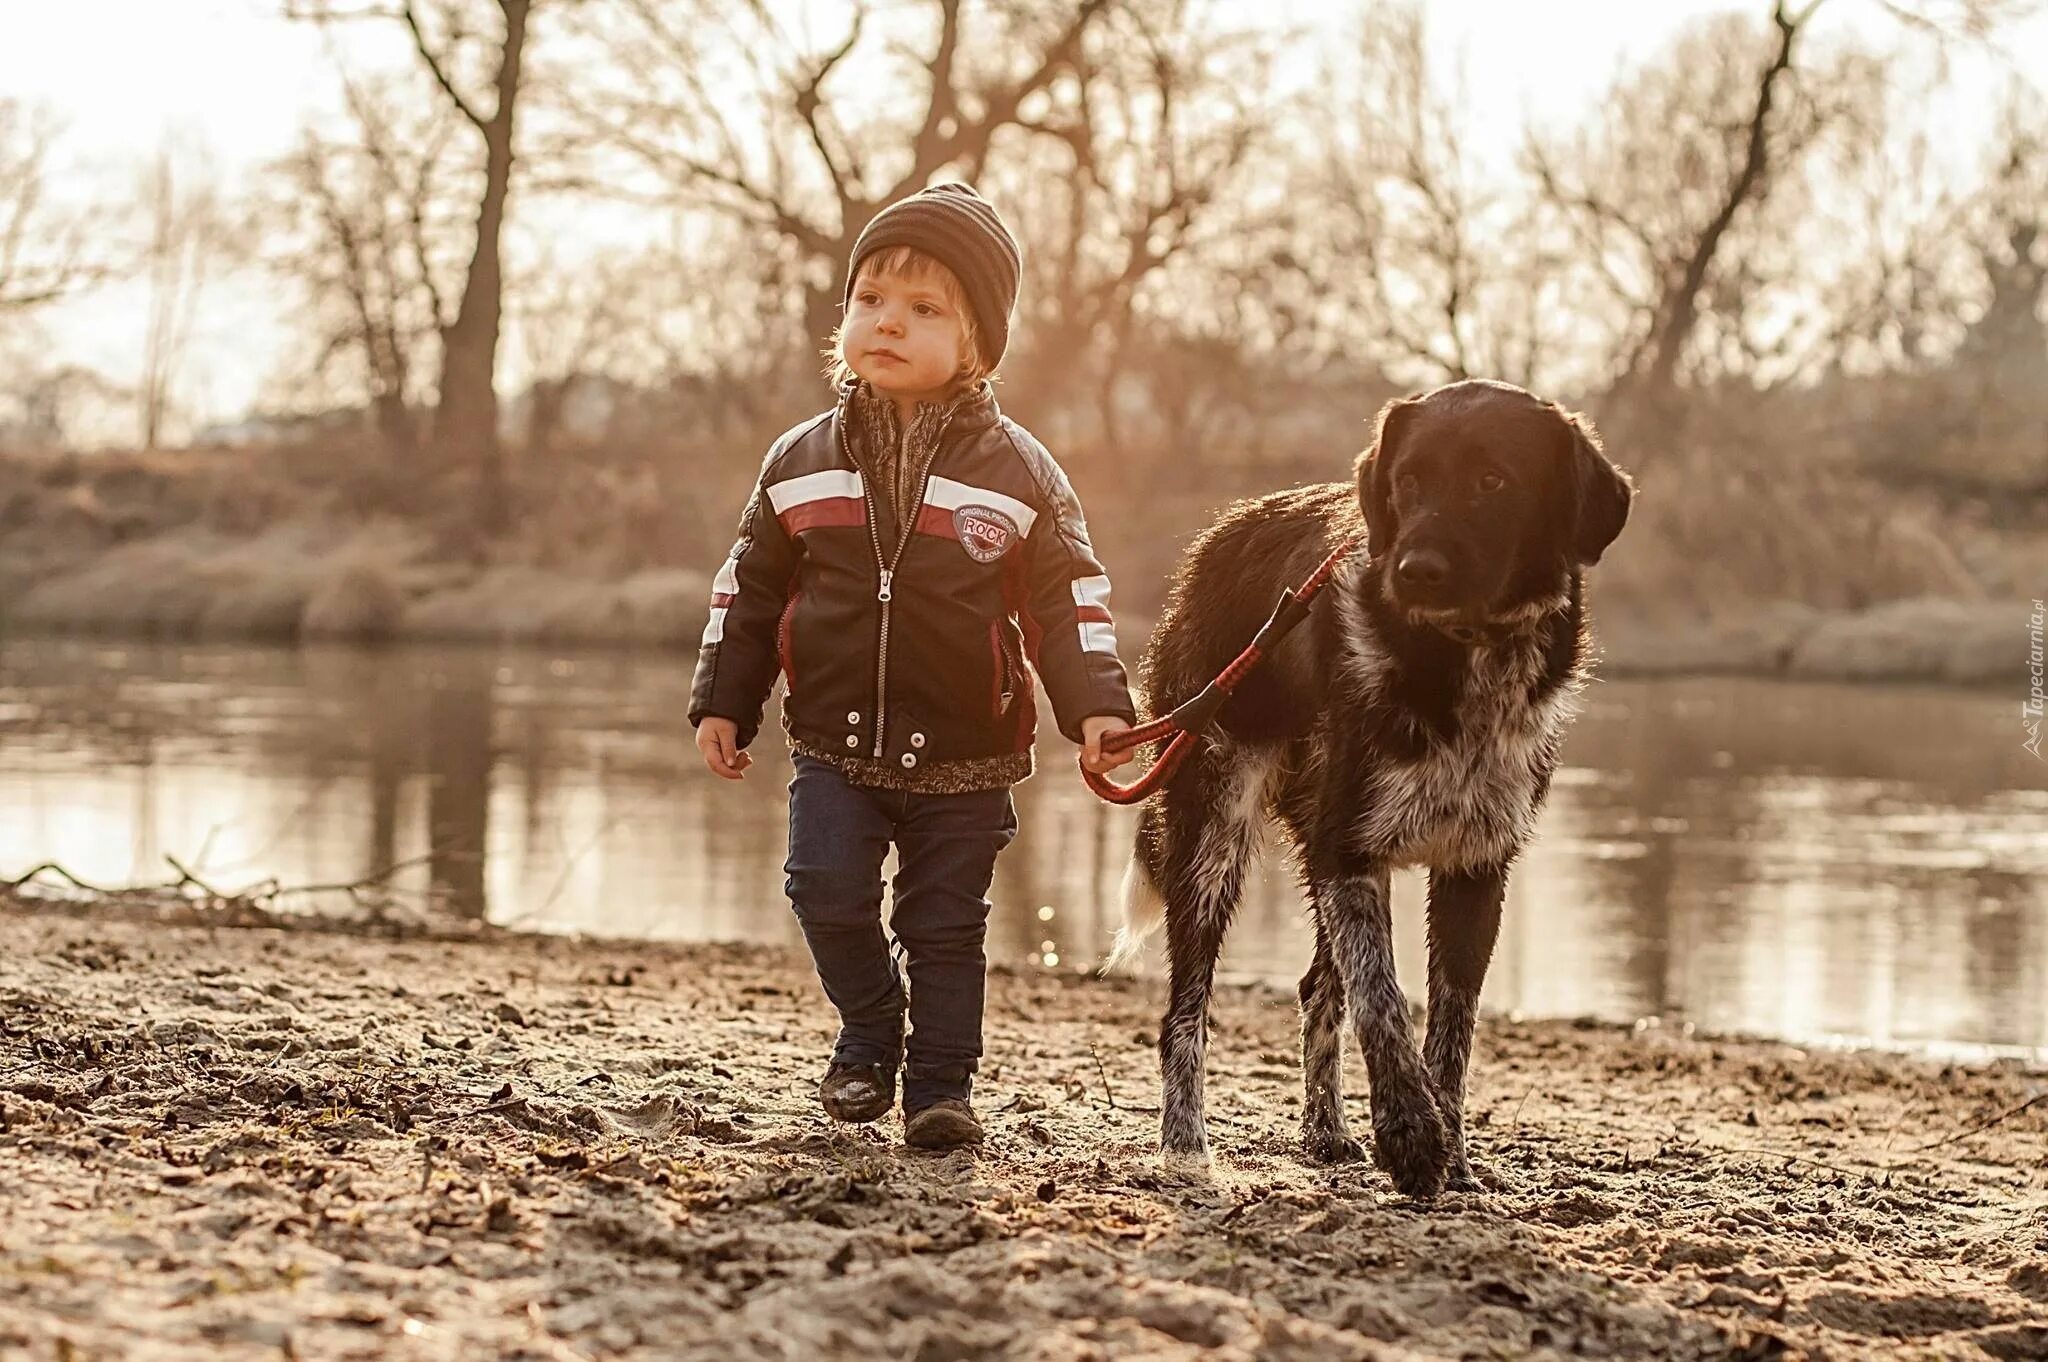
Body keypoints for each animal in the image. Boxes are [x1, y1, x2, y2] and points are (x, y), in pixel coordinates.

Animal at [1105, 376, 1630, 1196]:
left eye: (1493, 482)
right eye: (1407, 482)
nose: (1414, 569)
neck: (1461, 659)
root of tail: (1219, 538)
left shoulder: (1474, 869)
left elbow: (1450, 1029)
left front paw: (1451, 1153)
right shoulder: (1351, 857)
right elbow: (1382, 999)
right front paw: (1411, 1136)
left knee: (1316, 987)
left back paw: (1325, 1133)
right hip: (1214, 835)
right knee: (1185, 1012)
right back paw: (1185, 1145)